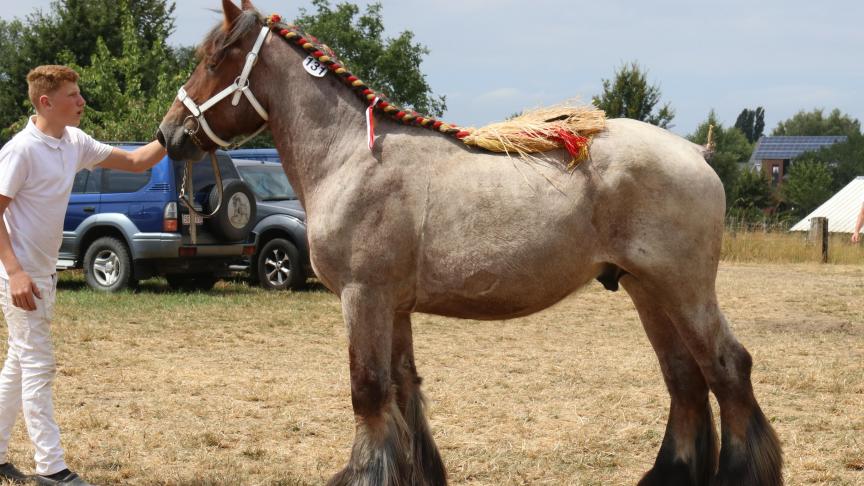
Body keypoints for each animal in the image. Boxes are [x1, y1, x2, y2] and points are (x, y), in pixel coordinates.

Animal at [157, 1, 784, 484]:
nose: (168, 134)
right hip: (646, 290)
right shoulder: (394, 306)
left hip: (684, 289)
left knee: (727, 368)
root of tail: (696, 153)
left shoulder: (363, 296)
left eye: (212, 61)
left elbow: (368, 390)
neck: (351, 156)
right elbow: (403, 389)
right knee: (685, 380)